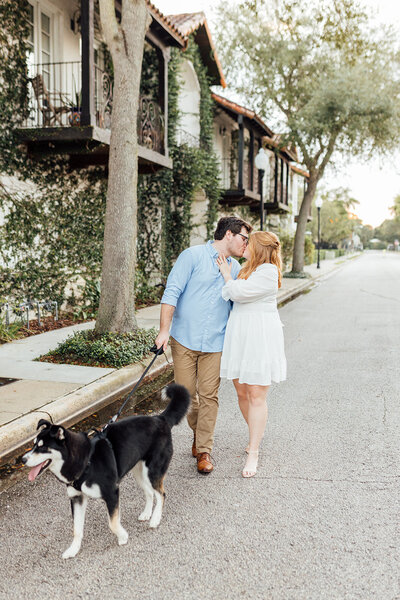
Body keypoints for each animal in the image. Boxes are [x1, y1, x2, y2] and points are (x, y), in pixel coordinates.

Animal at [22, 384, 191, 556]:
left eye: (42, 447)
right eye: (34, 444)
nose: (23, 459)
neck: (86, 461)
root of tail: (160, 419)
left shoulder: (111, 493)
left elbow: (113, 523)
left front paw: (123, 537)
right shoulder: (77, 498)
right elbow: (76, 529)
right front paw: (73, 550)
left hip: (153, 471)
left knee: (161, 494)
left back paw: (155, 519)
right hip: (139, 472)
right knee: (150, 492)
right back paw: (147, 514)